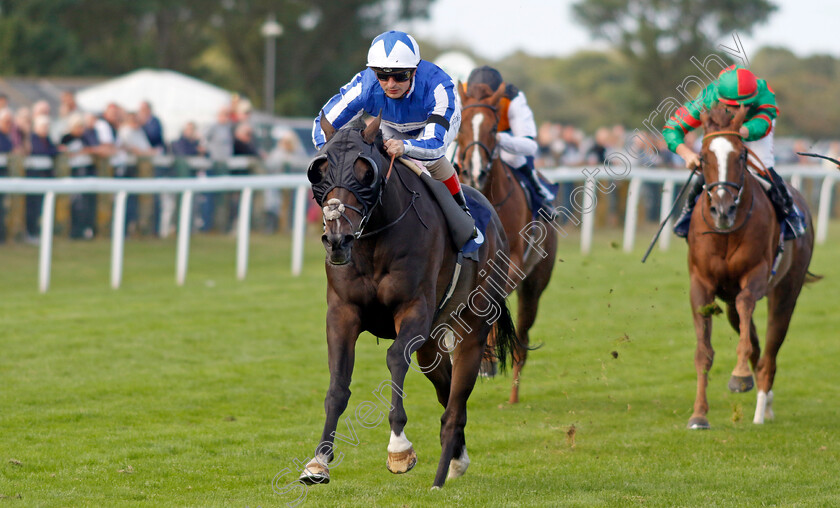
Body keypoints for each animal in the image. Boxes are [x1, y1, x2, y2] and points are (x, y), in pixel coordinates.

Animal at [296, 115, 520, 488]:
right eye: (320, 170)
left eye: (365, 171)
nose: (337, 239)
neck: (372, 243)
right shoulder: (342, 312)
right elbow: (338, 383)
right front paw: (318, 461)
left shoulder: (413, 309)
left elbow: (395, 358)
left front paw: (399, 449)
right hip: (431, 340)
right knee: (444, 387)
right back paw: (457, 457)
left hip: (472, 329)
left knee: (455, 404)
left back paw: (442, 473)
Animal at [452, 81, 556, 402]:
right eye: (461, 129)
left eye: (491, 129)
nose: (475, 170)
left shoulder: (513, 264)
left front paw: (487, 358)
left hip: (534, 287)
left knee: (521, 341)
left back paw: (512, 395)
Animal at [684, 105, 816, 430]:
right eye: (702, 156)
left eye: (741, 156)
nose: (723, 210)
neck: (725, 233)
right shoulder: (700, 284)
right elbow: (703, 352)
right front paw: (699, 414)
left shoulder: (756, 275)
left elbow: (747, 307)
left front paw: (740, 377)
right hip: (730, 303)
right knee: (754, 340)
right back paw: (764, 401)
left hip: (786, 291)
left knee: (769, 353)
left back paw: (760, 409)